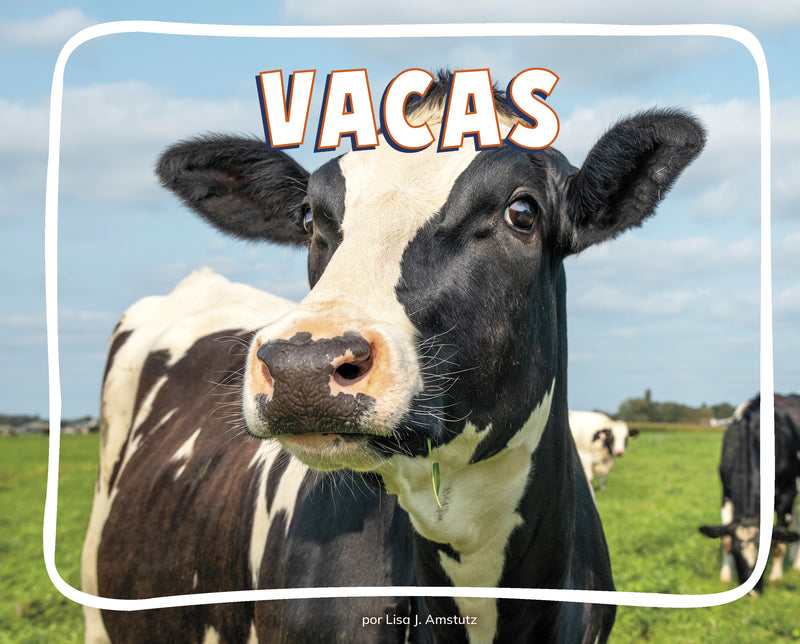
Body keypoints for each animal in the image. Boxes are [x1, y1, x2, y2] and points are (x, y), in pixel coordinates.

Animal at [699, 393, 800, 594]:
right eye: (736, 552)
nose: (753, 594)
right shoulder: (727, 494)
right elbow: (725, 539)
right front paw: (725, 576)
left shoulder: (787, 495)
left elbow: (779, 541)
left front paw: (776, 576)